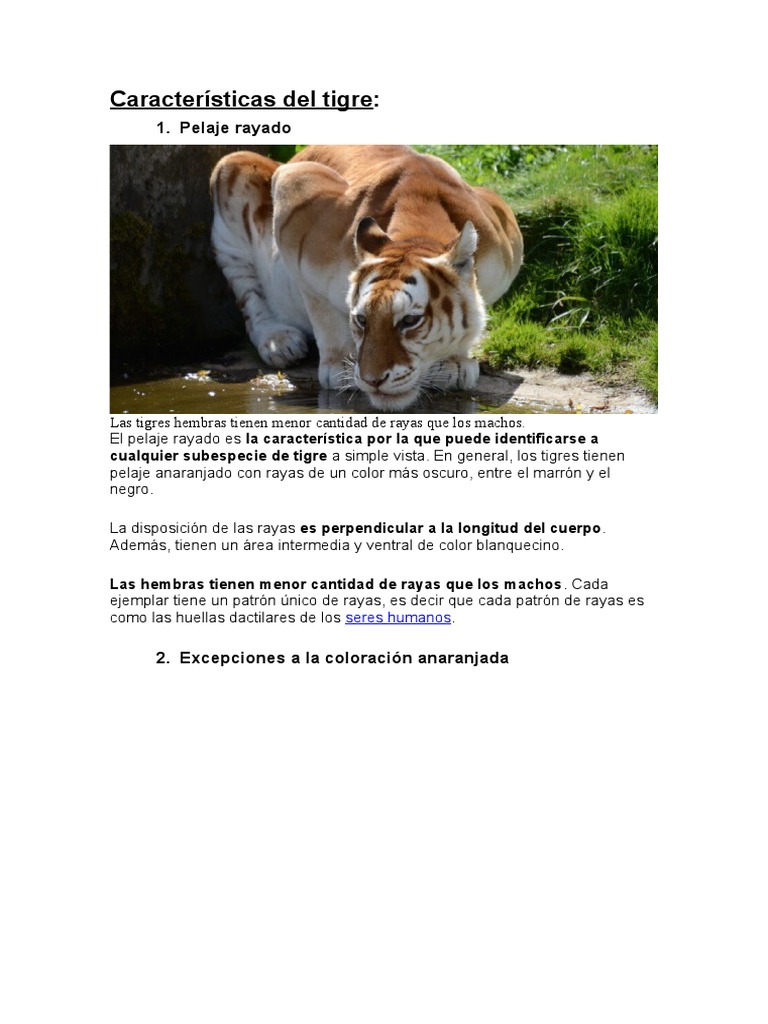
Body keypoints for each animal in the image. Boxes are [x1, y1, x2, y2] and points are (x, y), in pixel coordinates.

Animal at [210, 145, 523, 411]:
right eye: (361, 320)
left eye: (409, 321)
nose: (373, 380)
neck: (419, 232)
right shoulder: (294, 191)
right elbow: (321, 309)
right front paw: (338, 367)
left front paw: (454, 363)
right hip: (232, 173)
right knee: (248, 291)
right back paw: (278, 341)